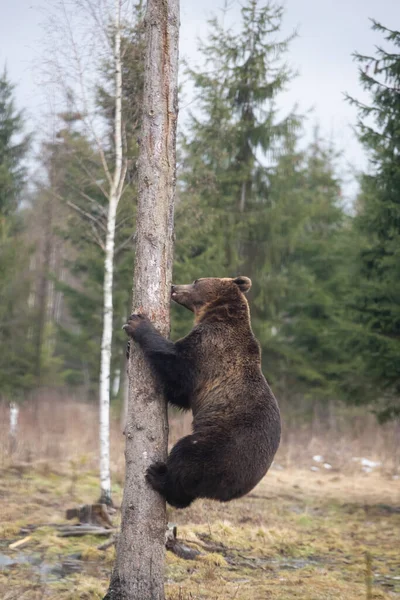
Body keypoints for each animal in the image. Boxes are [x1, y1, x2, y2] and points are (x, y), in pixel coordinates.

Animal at [123, 276, 280, 506]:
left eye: (197, 281)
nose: (173, 286)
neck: (217, 315)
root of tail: (231, 492)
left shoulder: (210, 350)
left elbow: (178, 371)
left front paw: (137, 324)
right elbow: (181, 395)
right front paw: (127, 348)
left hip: (219, 448)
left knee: (185, 456)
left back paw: (157, 475)